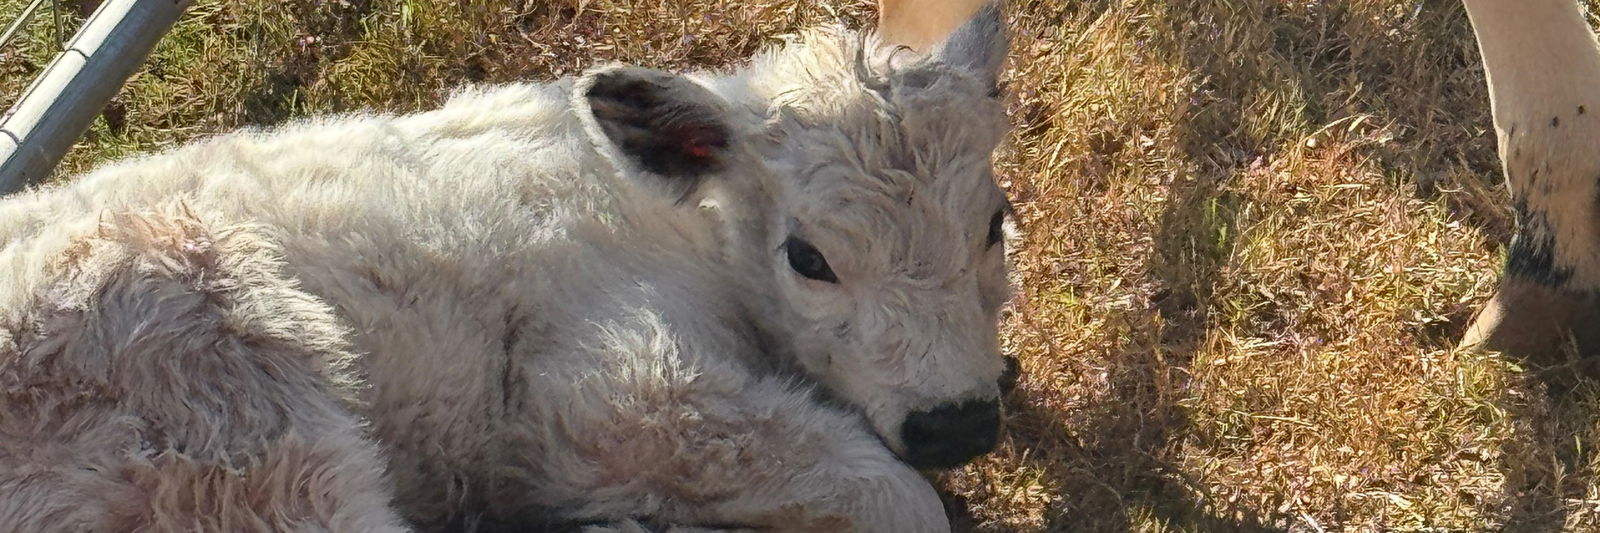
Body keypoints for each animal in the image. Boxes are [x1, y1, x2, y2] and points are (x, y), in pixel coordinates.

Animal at [0, 2, 1014, 531]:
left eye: (995, 223)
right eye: (809, 256)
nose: (956, 423)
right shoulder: (609, 391)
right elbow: (898, 496)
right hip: (231, 422)